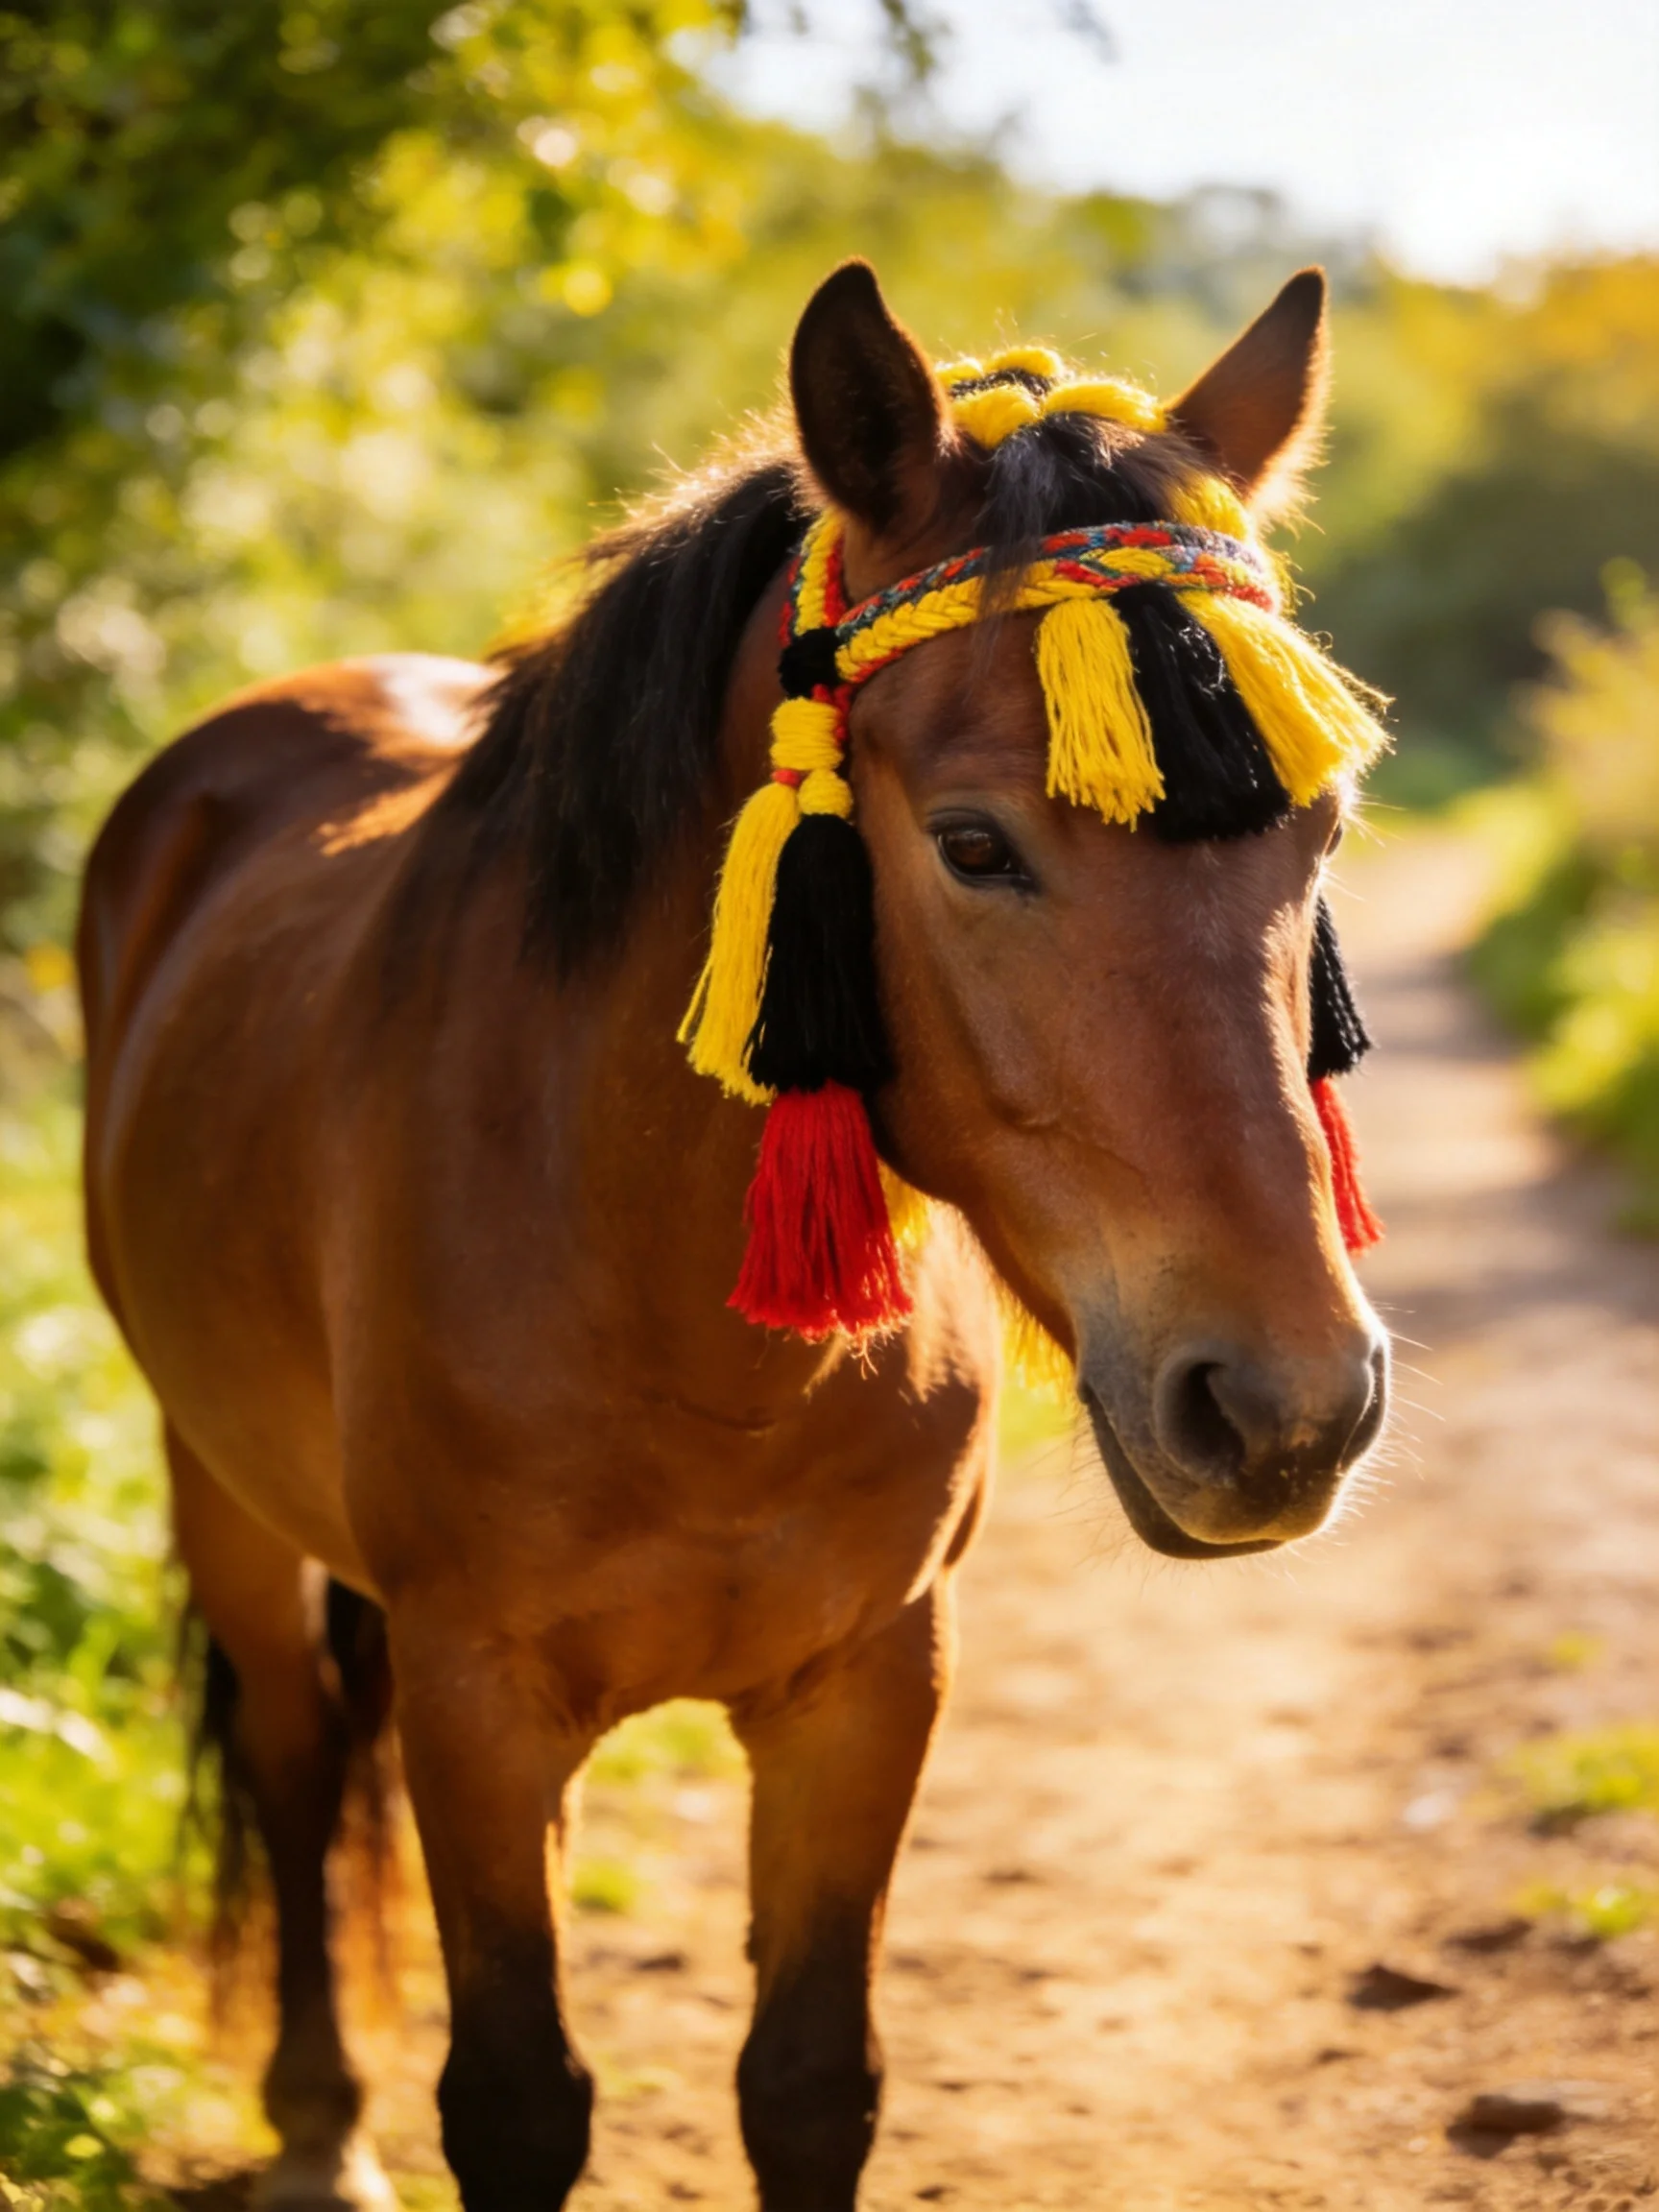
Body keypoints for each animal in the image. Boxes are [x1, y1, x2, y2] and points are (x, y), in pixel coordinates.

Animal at [78, 259, 1388, 2211]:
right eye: (975, 845)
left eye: (1318, 830)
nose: (1290, 1407)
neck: (662, 1301)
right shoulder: (479, 1702)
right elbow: (516, 2096)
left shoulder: (869, 1686)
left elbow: (809, 2084)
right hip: (216, 1482)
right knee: (301, 1760)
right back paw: (315, 2122)